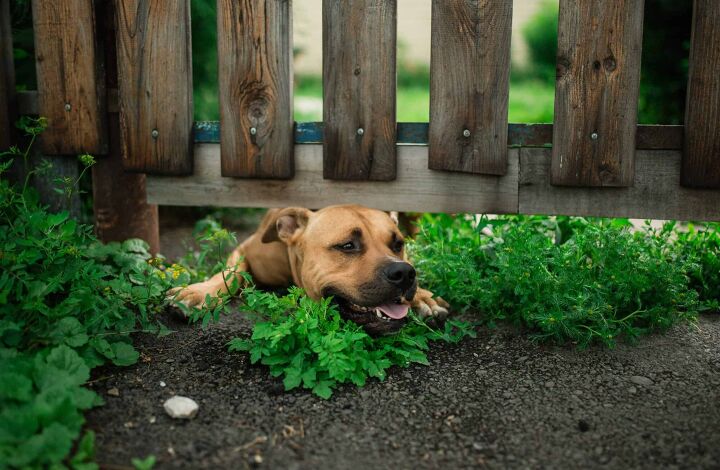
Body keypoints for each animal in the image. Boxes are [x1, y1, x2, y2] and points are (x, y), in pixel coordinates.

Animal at [172, 205, 448, 334]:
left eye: (397, 244)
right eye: (347, 245)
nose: (404, 273)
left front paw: (424, 297)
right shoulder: (246, 249)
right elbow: (231, 273)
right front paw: (198, 293)